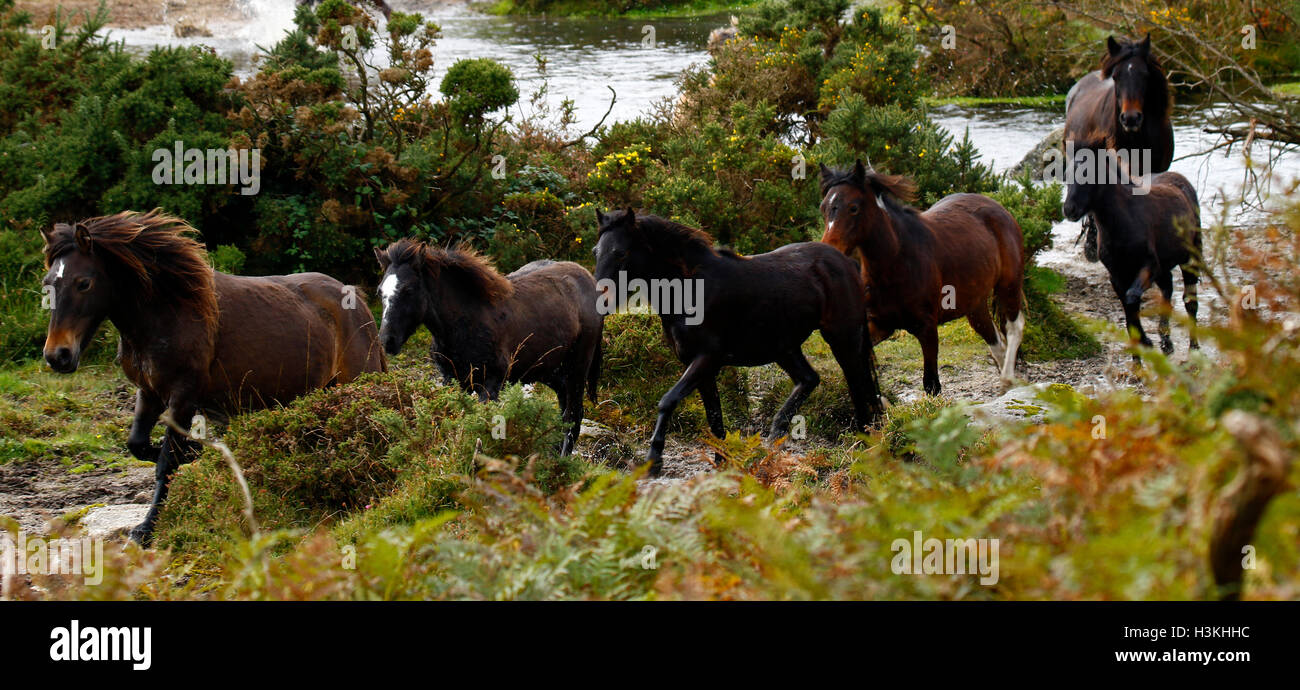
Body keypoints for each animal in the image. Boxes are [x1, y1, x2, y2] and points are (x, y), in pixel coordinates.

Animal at [40, 210, 386, 545]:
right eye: (48, 283)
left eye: (83, 283)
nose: (58, 356)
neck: (167, 310)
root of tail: (358, 302)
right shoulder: (149, 392)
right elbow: (138, 445)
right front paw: (194, 454)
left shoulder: (183, 395)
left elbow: (166, 461)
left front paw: (146, 530)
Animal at [374, 240, 603, 457]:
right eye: (380, 291)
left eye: (408, 289)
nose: (387, 340)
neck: (465, 323)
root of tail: (588, 280)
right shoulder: (452, 381)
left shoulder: (491, 384)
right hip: (551, 372)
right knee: (564, 413)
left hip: (577, 368)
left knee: (573, 416)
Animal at [593, 208, 883, 475]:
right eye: (597, 251)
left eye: (621, 253)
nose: (600, 302)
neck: (690, 288)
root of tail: (846, 263)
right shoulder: (700, 366)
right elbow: (714, 416)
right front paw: (722, 460)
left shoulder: (706, 359)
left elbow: (668, 401)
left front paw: (654, 462)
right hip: (784, 347)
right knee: (810, 379)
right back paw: (776, 434)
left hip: (842, 338)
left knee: (857, 384)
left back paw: (863, 441)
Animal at [819, 161, 1027, 395]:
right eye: (824, 207)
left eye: (853, 208)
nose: (829, 249)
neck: (896, 261)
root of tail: (998, 207)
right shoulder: (880, 324)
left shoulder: (927, 327)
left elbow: (931, 385)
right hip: (975, 302)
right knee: (994, 339)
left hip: (1008, 284)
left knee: (1014, 327)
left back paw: (1008, 380)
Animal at [1061, 139, 1201, 358]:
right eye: (1066, 176)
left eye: (1090, 173)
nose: (1069, 209)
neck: (1124, 221)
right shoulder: (1117, 275)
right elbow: (1129, 314)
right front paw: (1143, 346)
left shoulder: (1148, 266)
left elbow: (1132, 298)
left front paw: (1146, 342)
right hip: (1165, 264)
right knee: (1168, 288)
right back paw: (1166, 342)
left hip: (1190, 256)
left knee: (1190, 300)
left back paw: (1193, 348)